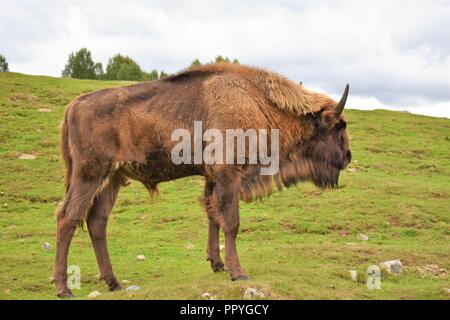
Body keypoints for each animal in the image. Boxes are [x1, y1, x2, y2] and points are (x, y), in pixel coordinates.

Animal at [53, 62, 352, 298]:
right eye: (339, 127)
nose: (348, 156)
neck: (256, 101)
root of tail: (74, 106)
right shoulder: (229, 174)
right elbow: (231, 222)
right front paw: (238, 273)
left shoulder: (212, 178)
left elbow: (213, 216)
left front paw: (217, 264)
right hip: (90, 174)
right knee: (68, 216)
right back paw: (63, 288)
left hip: (113, 178)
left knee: (96, 220)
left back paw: (114, 283)